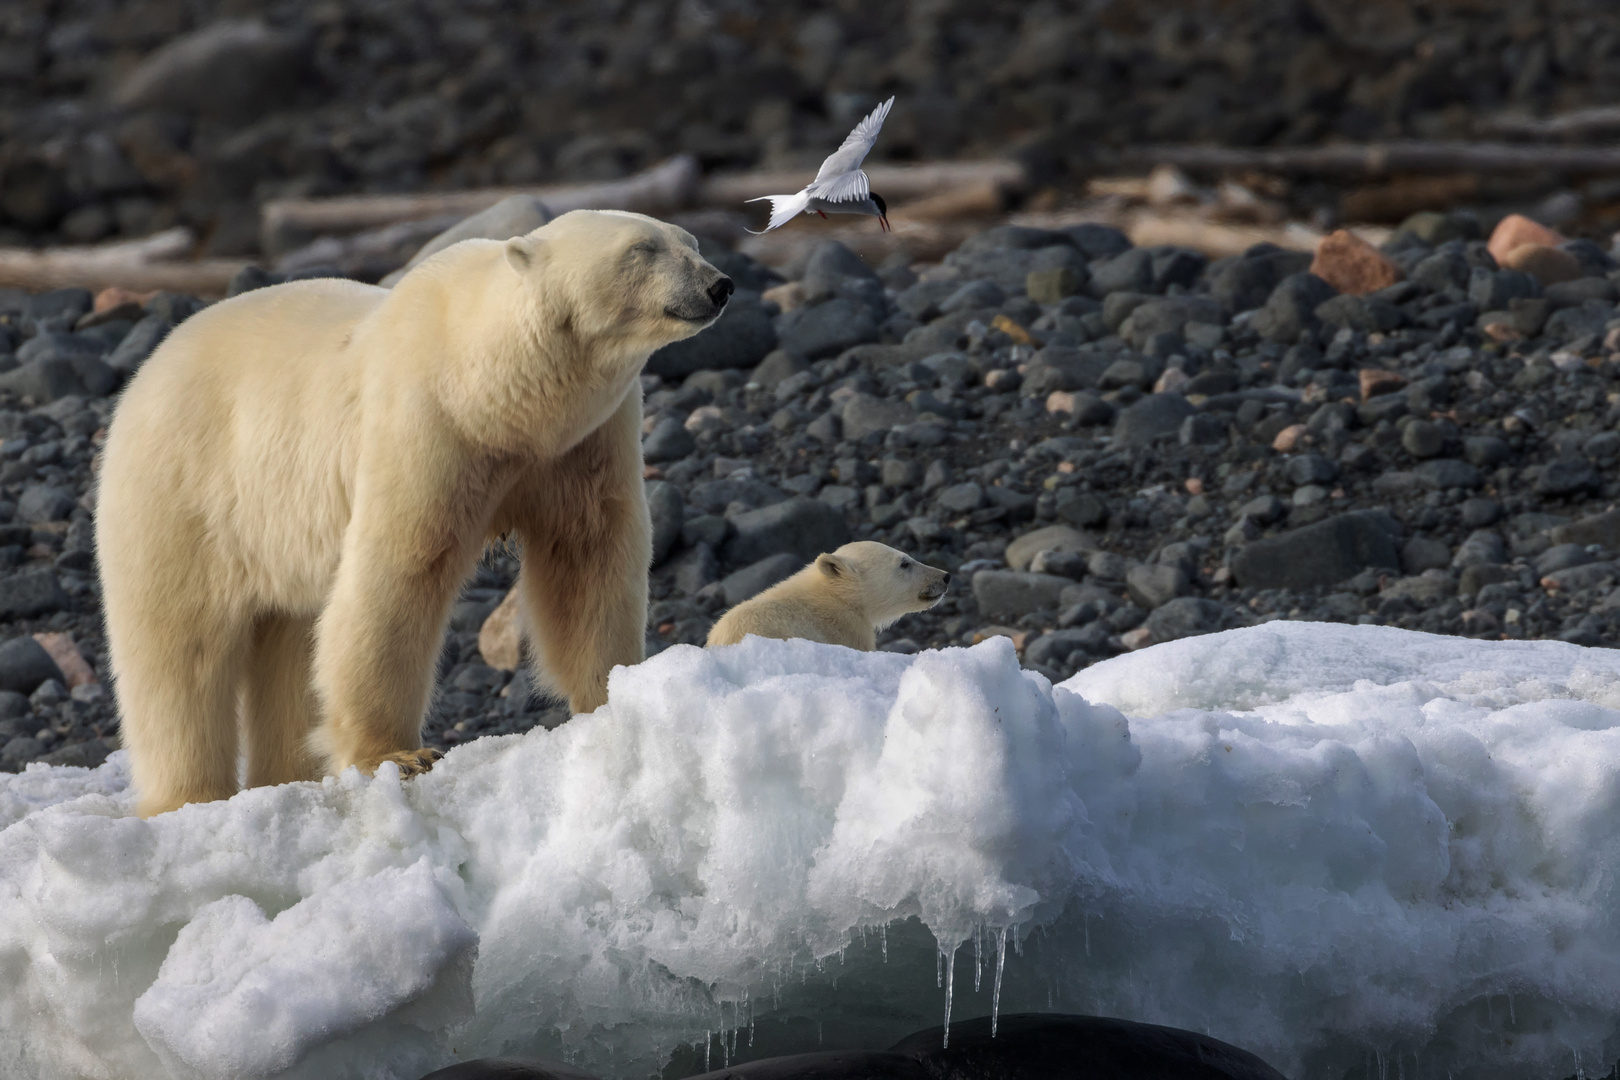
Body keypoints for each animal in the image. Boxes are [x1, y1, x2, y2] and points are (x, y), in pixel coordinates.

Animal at [98, 208, 732, 819]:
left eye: (691, 240)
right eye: (642, 248)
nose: (719, 284)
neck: (493, 392)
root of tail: (144, 376)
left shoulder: (579, 443)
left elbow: (587, 554)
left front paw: (612, 695)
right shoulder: (425, 423)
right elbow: (400, 572)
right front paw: (397, 756)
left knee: (290, 642)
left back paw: (286, 777)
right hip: (185, 492)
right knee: (179, 652)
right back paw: (190, 796)